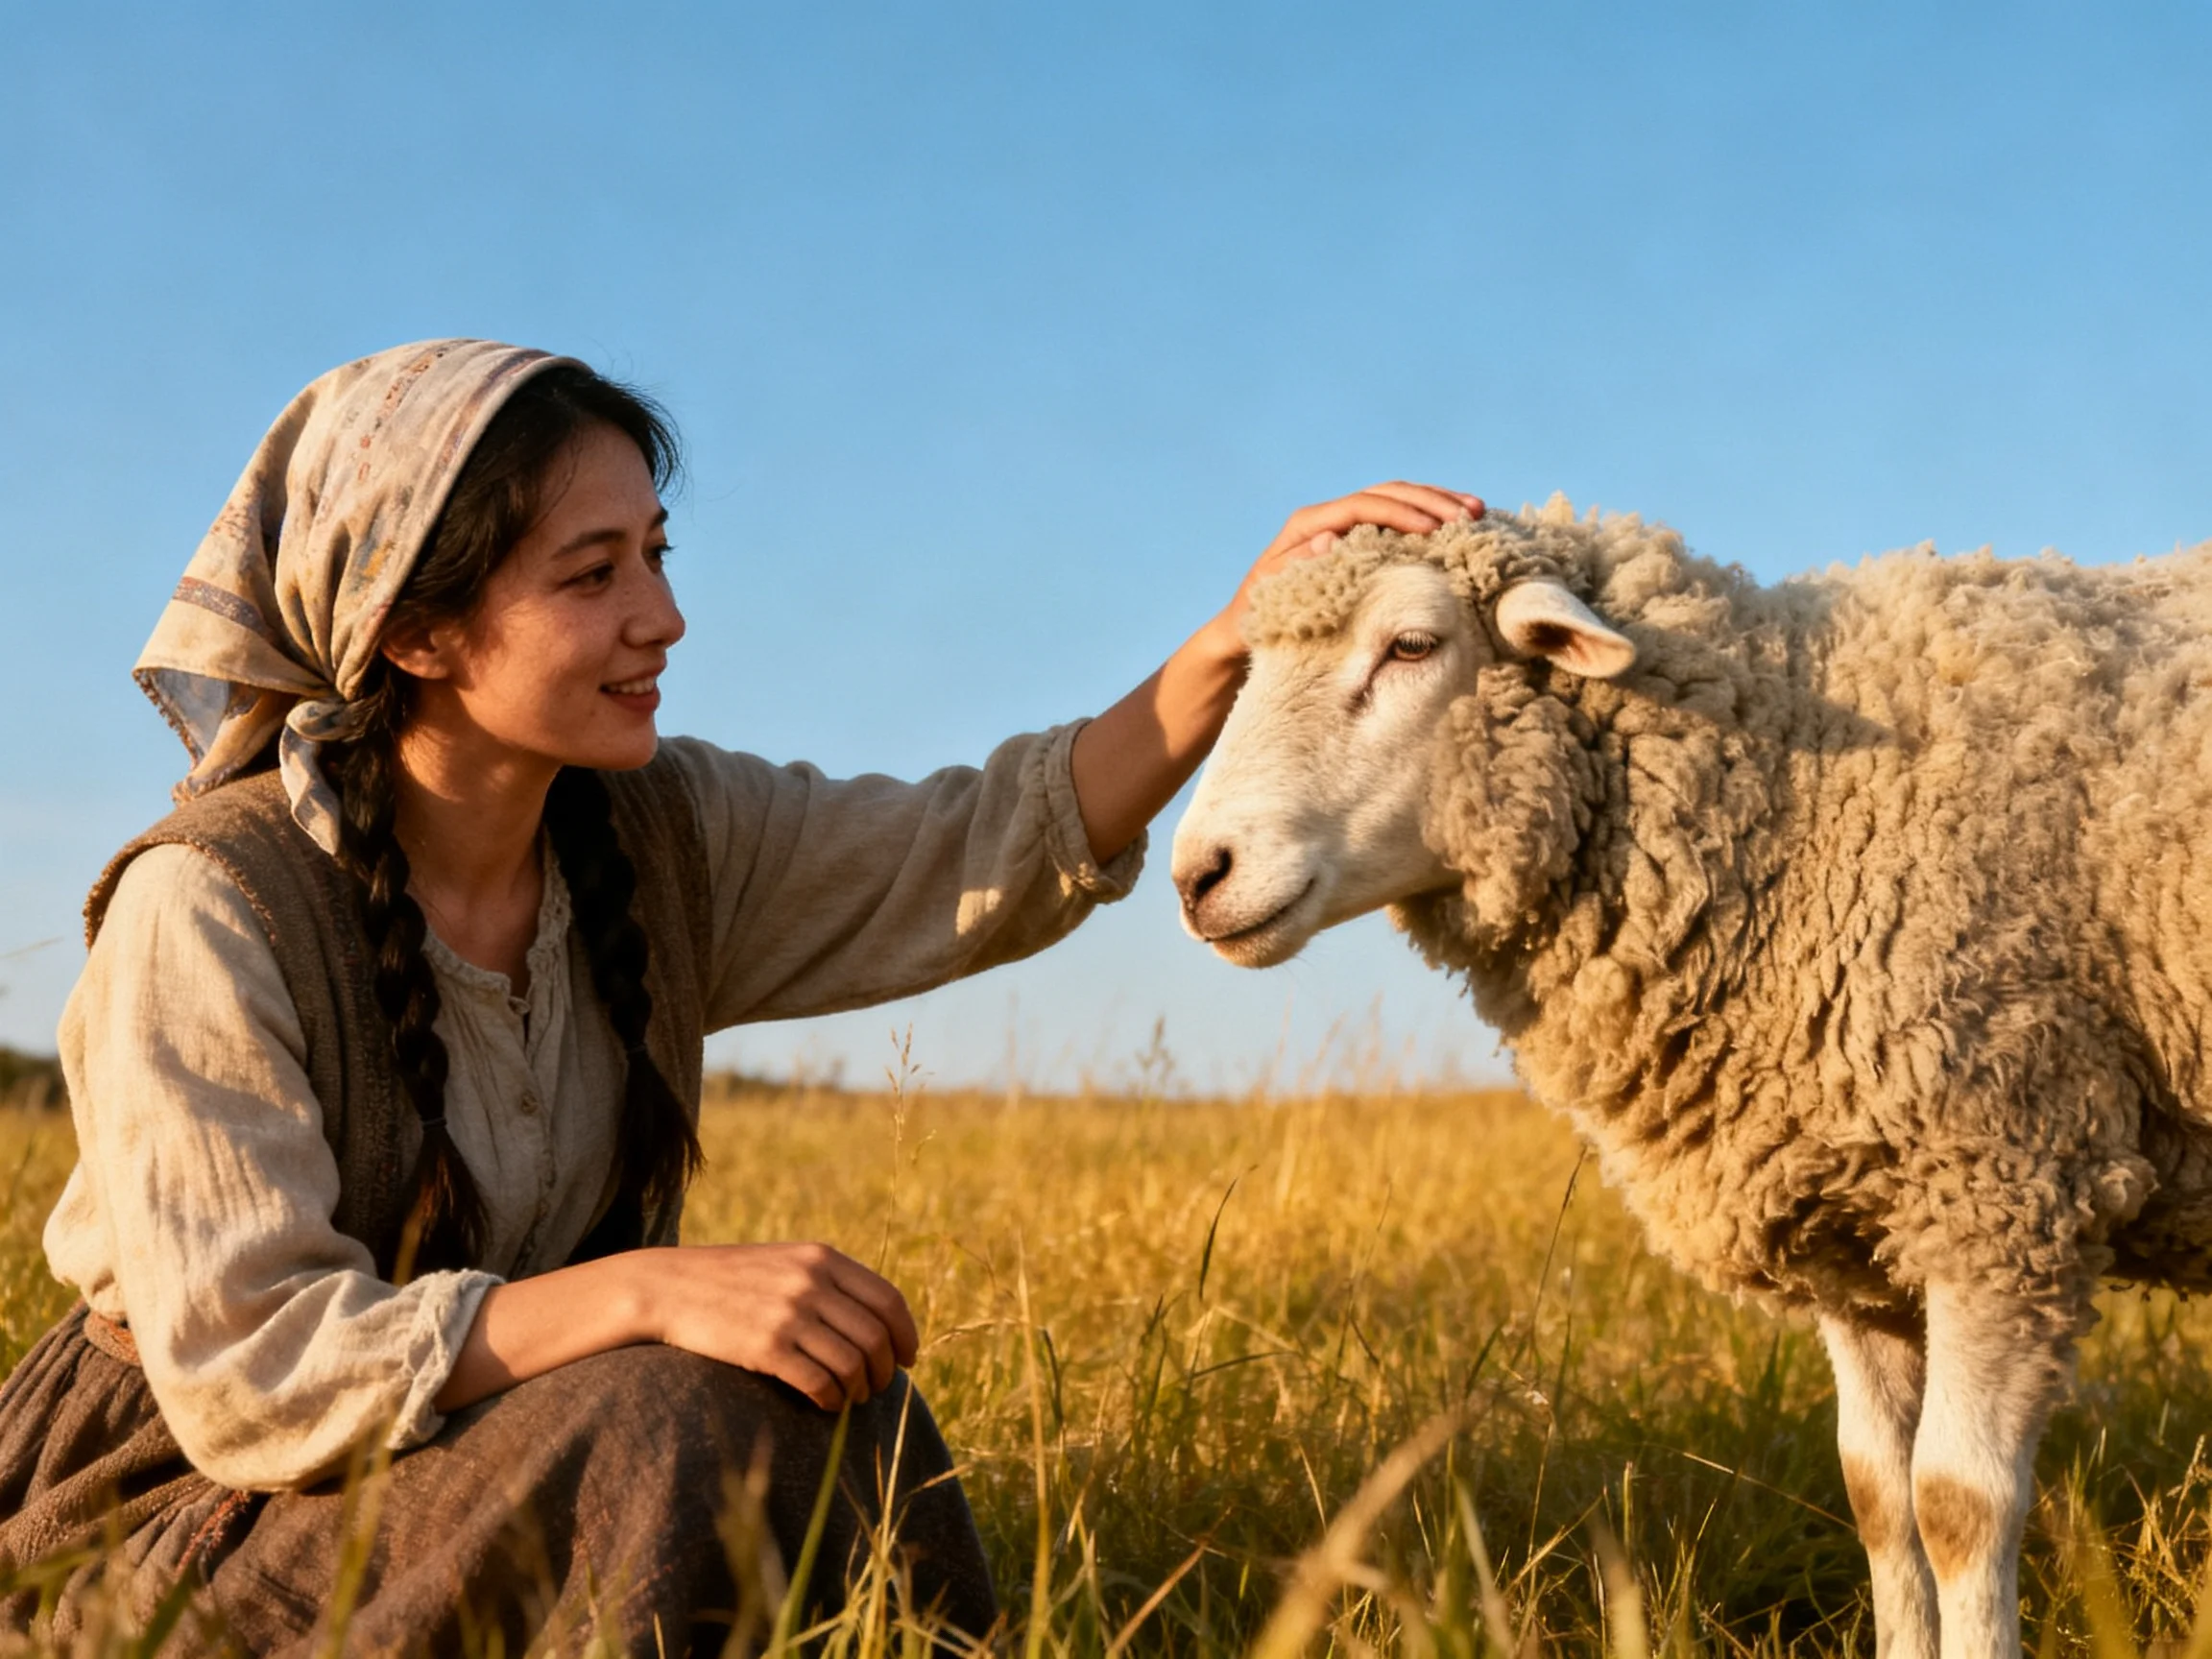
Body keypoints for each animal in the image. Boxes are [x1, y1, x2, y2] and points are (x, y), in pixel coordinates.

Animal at [1170, 495, 2212, 1659]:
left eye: (1410, 645)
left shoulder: (2006, 1194)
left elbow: (1956, 1506)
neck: (1800, 784)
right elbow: (1877, 1496)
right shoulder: (1858, 1236)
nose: (1198, 874)